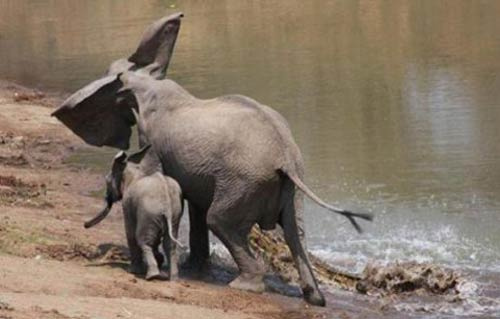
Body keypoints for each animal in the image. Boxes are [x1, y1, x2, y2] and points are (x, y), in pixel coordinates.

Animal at [85, 146, 185, 282]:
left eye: (107, 180)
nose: (84, 224)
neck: (135, 170)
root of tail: (166, 201)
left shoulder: (127, 204)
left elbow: (130, 233)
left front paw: (133, 271)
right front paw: (159, 259)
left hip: (149, 211)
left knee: (143, 240)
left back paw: (152, 276)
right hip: (174, 213)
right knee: (170, 244)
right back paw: (173, 279)